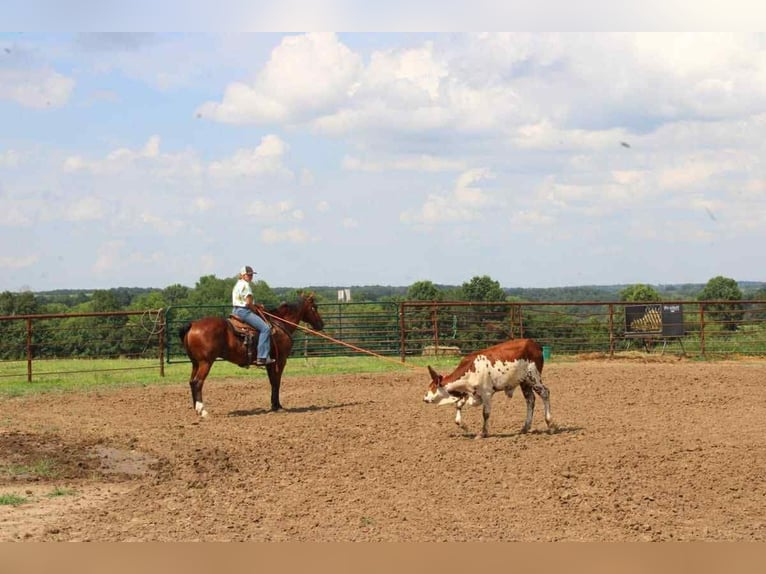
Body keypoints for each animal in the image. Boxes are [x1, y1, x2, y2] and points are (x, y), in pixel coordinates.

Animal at [178, 292, 324, 417]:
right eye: (314, 307)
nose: (321, 325)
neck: (280, 324)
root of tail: (193, 325)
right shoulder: (281, 360)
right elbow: (277, 382)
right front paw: (278, 406)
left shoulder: (270, 362)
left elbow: (272, 382)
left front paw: (274, 405)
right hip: (205, 362)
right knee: (198, 382)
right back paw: (203, 411)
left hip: (195, 363)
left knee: (191, 382)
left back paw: (196, 409)